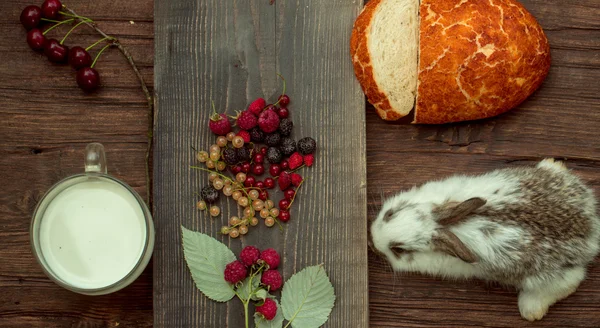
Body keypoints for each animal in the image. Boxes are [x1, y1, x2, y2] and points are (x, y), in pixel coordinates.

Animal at [370, 159, 600, 320]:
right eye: (389, 213)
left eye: (398, 249)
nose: (371, 242)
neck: (446, 227)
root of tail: (592, 228)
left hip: (554, 279)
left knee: (567, 285)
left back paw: (531, 311)